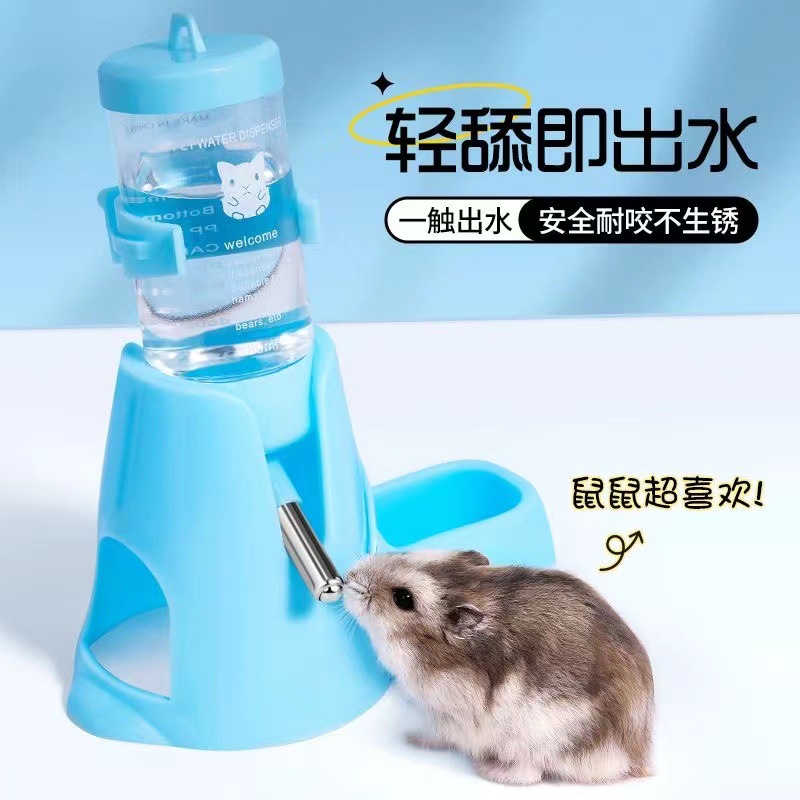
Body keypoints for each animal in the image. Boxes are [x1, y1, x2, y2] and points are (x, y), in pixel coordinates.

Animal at [344, 550, 653, 785]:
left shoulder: (447, 713)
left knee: (530, 774)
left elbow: (435, 733)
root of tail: (635, 757)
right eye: (405, 552)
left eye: (403, 598)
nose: (348, 579)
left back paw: (488, 770)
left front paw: (409, 739)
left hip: (536, 739)